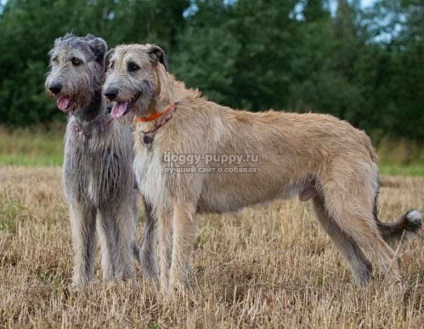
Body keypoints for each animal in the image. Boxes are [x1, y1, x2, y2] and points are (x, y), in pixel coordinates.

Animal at [44, 34, 158, 284]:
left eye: (76, 61)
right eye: (55, 60)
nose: (54, 87)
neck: (90, 127)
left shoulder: (120, 194)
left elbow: (123, 236)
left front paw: (126, 280)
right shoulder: (82, 196)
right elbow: (84, 242)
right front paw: (81, 283)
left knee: (148, 237)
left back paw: (150, 273)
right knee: (108, 236)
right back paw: (109, 276)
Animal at [102, 43, 420, 292]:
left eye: (133, 67)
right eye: (111, 66)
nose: (108, 94)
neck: (165, 116)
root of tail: (362, 137)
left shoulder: (182, 205)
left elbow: (178, 257)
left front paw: (175, 297)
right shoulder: (166, 207)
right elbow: (165, 255)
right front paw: (166, 294)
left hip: (348, 209)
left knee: (389, 257)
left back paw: (392, 300)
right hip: (329, 214)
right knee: (364, 264)